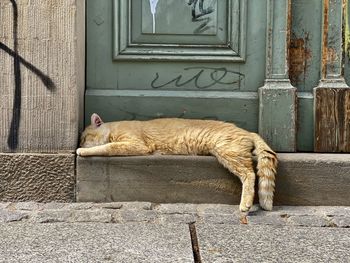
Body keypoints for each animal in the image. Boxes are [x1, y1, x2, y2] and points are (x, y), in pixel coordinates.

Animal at [78, 114, 278, 214]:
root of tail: (248, 131)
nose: (79, 143)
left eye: (84, 138)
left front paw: (82, 151)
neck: (114, 128)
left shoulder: (135, 144)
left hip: (228, 153)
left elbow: (106, 147)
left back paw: (245, 204)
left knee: (250, 174)